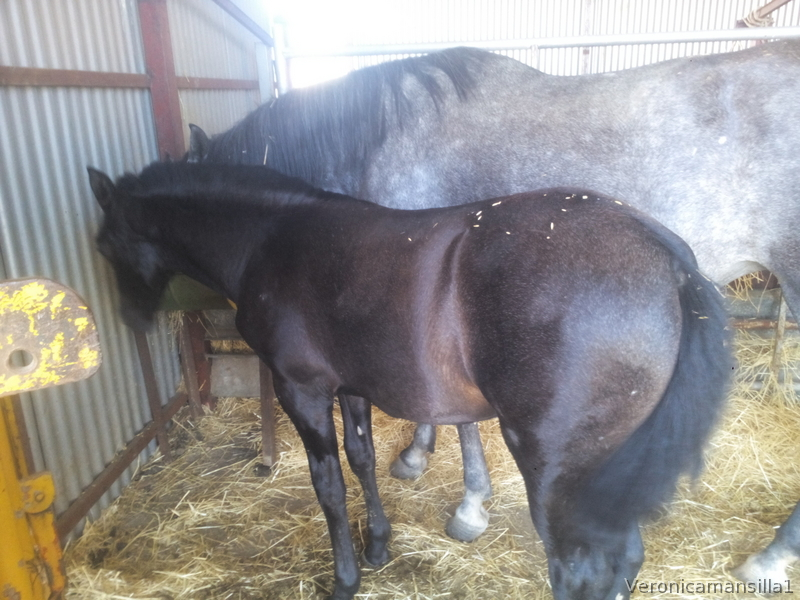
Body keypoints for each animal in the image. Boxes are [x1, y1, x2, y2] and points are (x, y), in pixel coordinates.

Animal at [88, 161, 730, 600]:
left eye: (102, 244)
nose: (131, 319)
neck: (268, 240)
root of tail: (666, 256)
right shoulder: (350, 387)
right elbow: (362, 460)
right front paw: (377, 544)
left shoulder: (303, 391)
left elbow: (329, 485)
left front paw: (345, 579)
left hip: (559, 472)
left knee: (582, 571)